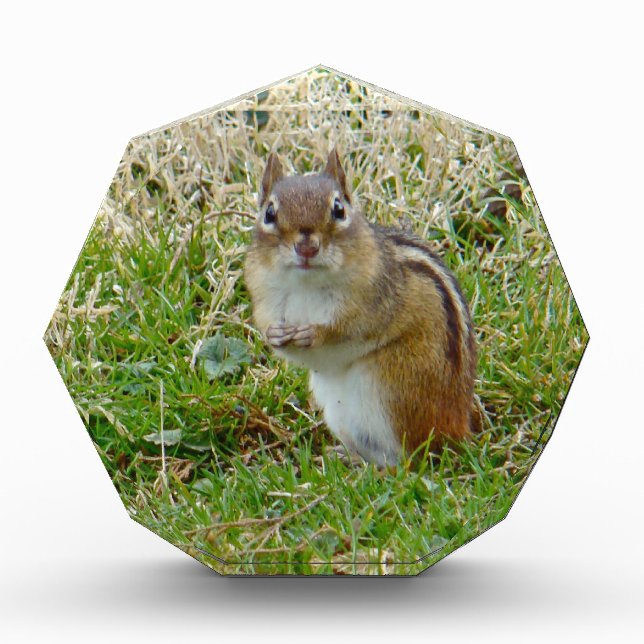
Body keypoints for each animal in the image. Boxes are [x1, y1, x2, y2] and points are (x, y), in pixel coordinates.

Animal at [244, 149, 478, 466]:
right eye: (269, 213)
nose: (306, 247)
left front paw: (315, 334)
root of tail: (457, 428)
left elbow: (349, 329)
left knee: (408, 463)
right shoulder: (266, 299)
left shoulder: (374, 301)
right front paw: (275, 336)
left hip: (392, 387)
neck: (306, 284)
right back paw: (347, 457)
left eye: (339, 209)